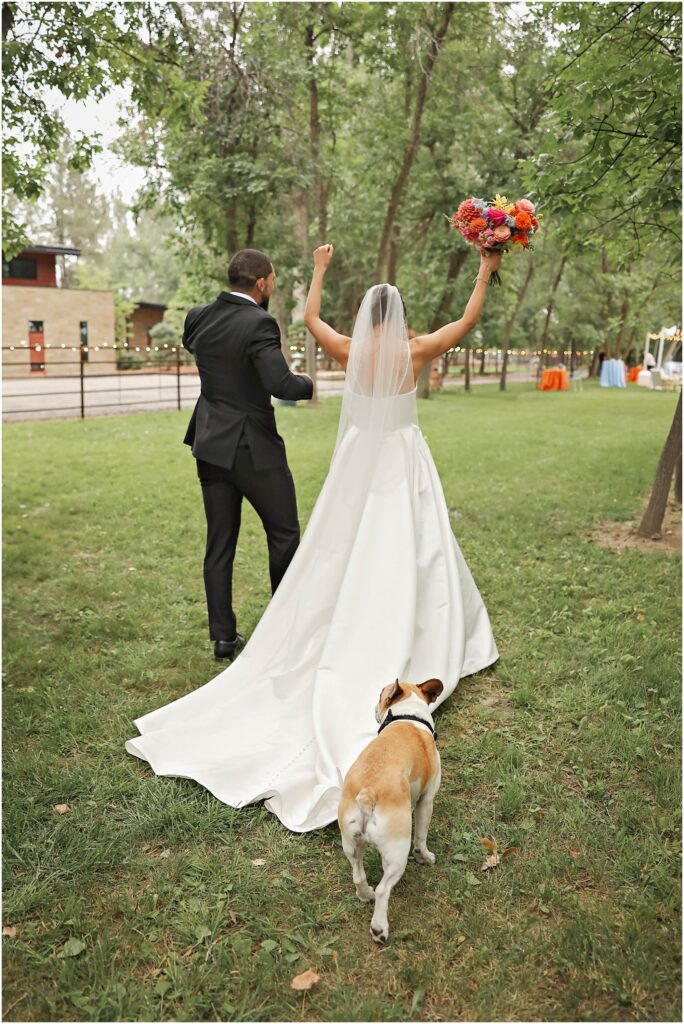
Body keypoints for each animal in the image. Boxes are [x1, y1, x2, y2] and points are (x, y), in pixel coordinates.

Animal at [335, 679, 444, 942]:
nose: (374, 706)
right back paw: (379, 928)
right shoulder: (427, 800)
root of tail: (368, 793)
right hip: (397, 850)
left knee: (358, 874)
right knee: (384, 888)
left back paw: (365, 894)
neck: (407, 716)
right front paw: (425, 857)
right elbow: (421, 837)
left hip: (351, 843)